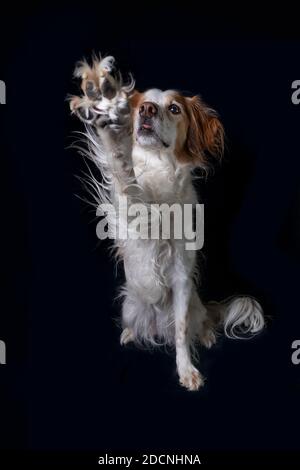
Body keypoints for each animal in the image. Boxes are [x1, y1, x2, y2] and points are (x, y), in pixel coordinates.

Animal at [68, 55, 264, 392]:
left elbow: (182, 332)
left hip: (193, 302)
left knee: (196, 322)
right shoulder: (131, 209)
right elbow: (124, 173)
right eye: (141, 105)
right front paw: (105, 115)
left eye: (174, 108)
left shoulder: (182, 277)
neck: (160, 168)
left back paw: (206, 334)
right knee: (135, 323)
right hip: (130, 304)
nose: (146, 111)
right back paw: (130, 333)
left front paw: (186, 370)